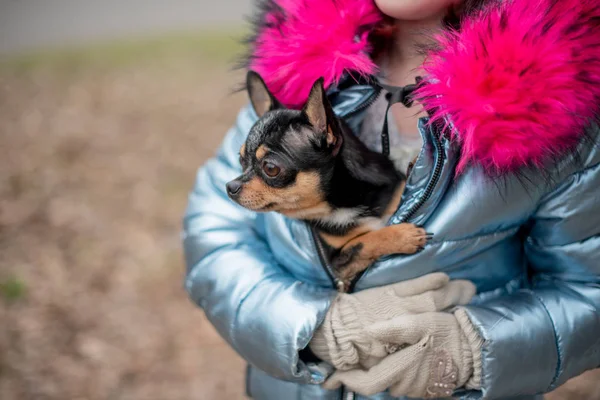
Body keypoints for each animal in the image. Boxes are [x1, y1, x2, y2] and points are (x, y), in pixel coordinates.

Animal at [226, 69, 432, 288]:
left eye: (270, 168)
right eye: (241, 160)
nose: (230, 186)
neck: (345, 201)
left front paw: (414, 165)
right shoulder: (339, 267)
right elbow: (364, 242)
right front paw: (404, 236)